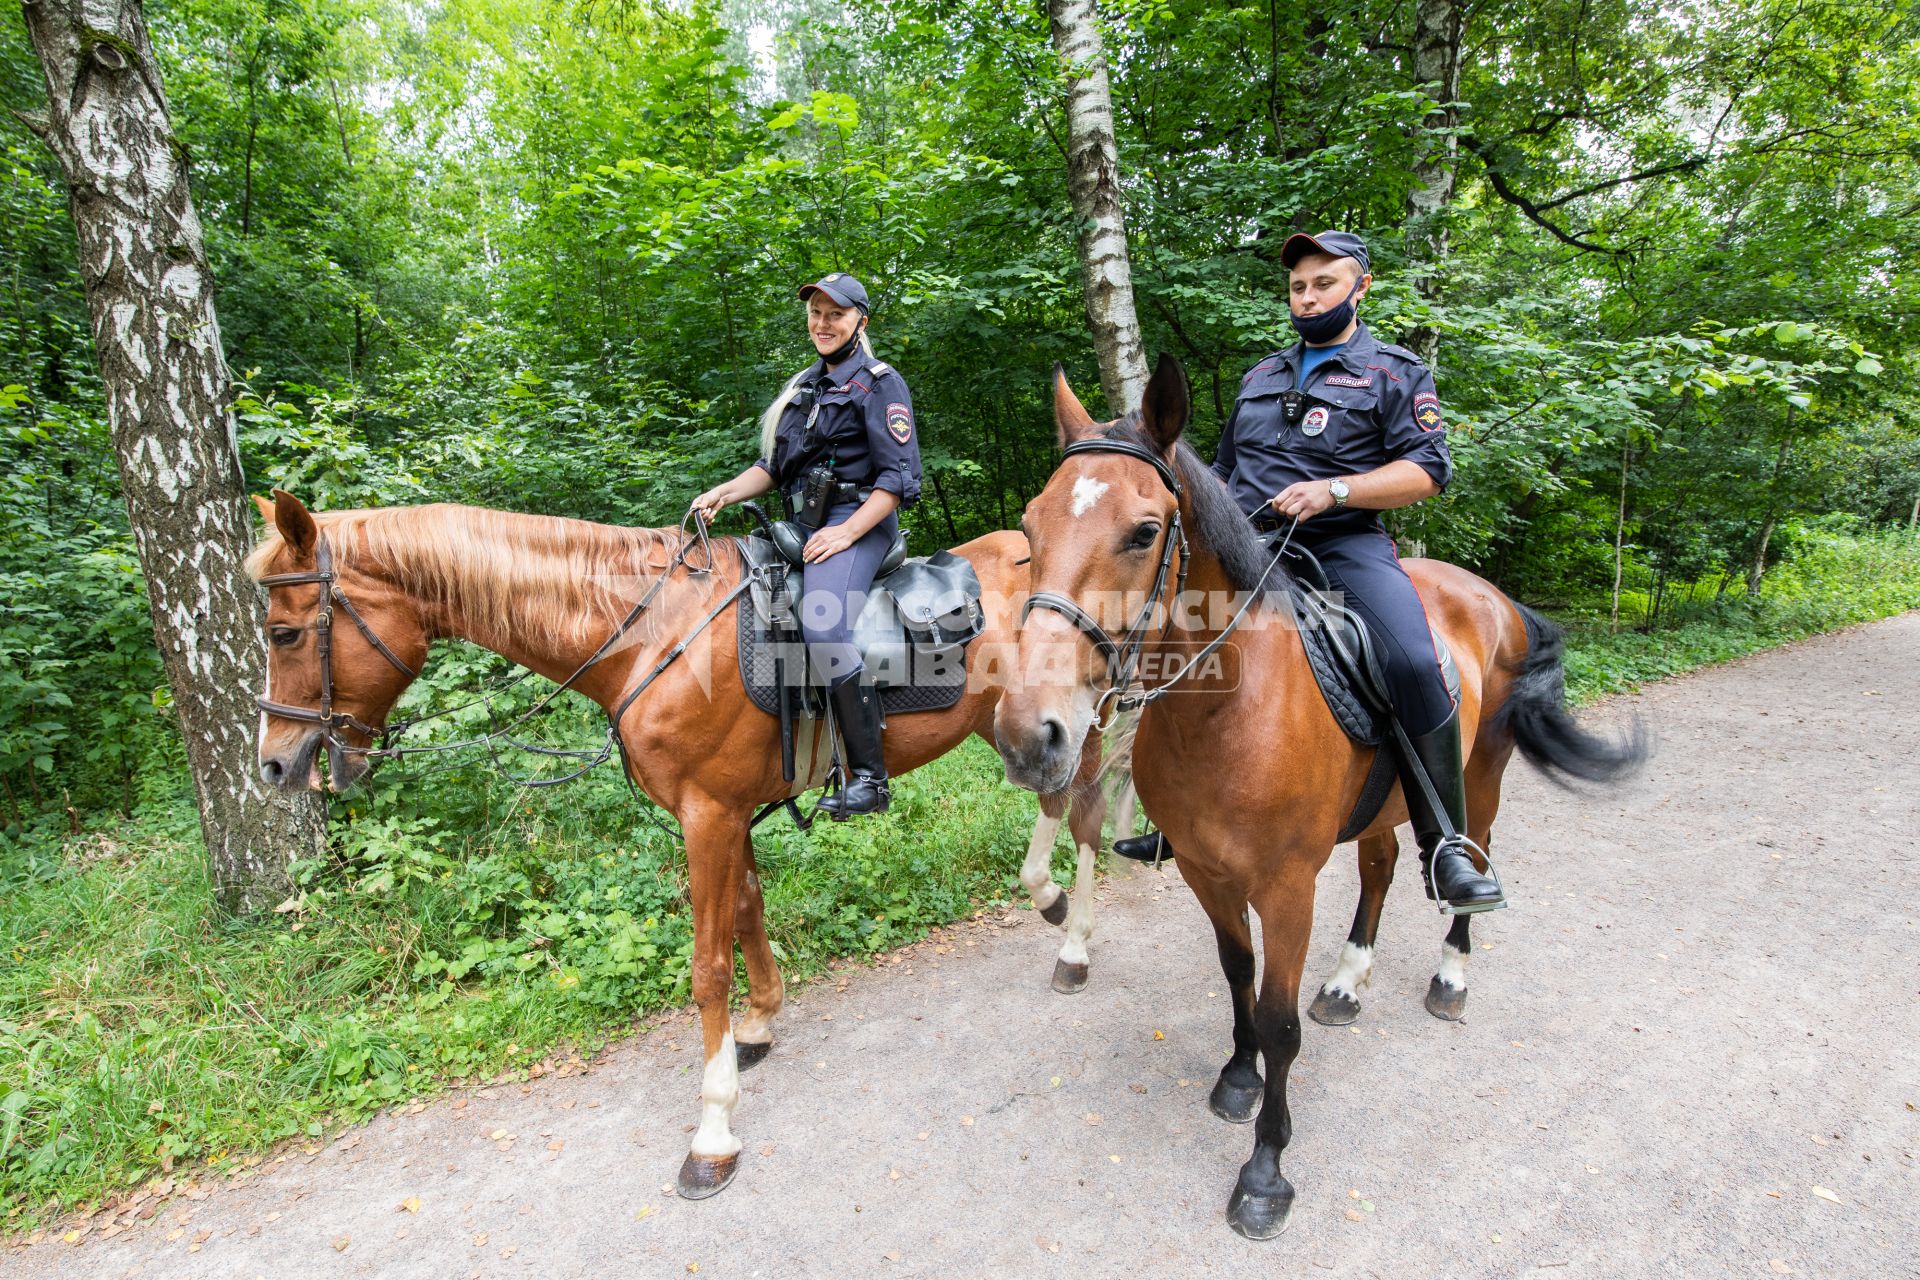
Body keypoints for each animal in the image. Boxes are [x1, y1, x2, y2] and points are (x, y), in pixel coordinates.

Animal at [249, 491, 1113, 1205]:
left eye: (283, 631)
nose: (275, 765)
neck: (647, 635)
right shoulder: (724, 815)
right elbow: (748, 913)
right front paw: (758, 1027)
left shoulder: (709, 816)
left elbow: (707, 968)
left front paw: (714, 1131)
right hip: (1022, 734)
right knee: (1053, 806)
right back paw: (1047, 899)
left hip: (1084, 726)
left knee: (1086, 823)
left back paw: (1073, 942)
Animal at [998, 360, 1643, 1243]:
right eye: (1032, 528)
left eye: (1142, 532)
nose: (1029, 735)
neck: (1226, 708)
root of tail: (1490, 594)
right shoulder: (1205, 872)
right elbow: (1237, 973)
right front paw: (1237, 1075)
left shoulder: (1287, 887)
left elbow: (1278, 1020)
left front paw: (1266, 1172)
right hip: (1382, 807)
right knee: (1379, 870)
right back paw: (1347, 979)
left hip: (1480, 778)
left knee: (1467, 858)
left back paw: (1451, 972)